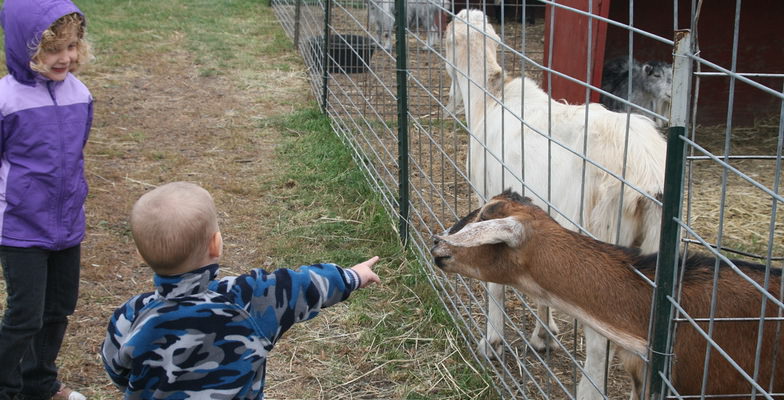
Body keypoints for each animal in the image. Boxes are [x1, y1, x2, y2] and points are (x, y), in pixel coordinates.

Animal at [444, 9, 664, 400]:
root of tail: (646, 175)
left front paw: (493, 343)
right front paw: (544, 337)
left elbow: (494, 281)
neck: (490, 100)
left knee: (600, 344)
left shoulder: (490, 200)